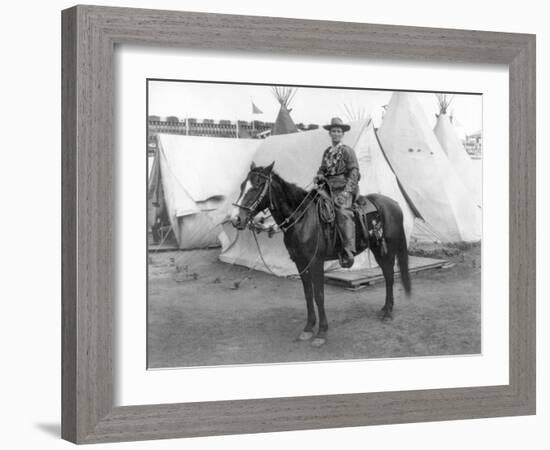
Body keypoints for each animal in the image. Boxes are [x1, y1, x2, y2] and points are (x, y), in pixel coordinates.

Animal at [231, 163, 412, 348]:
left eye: (257, 185)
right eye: (242, 185)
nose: (236, 219)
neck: (301, 218)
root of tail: (394, 204)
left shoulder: (316, 262)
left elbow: (319, 295)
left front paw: (322, 332)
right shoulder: (300, 263)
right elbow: (308, 294)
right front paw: (308, 328)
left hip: (387, 250)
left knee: (390, 276)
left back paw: (388, 312)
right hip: (377, 249)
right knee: (388, 274)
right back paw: (385, 309)